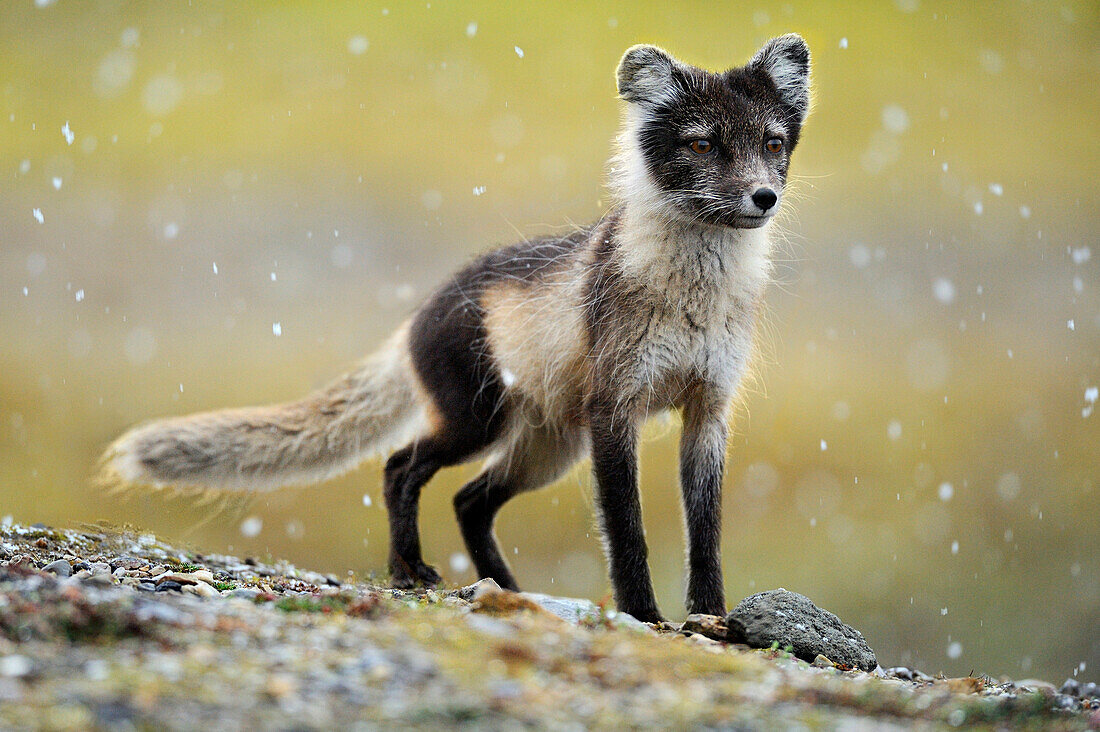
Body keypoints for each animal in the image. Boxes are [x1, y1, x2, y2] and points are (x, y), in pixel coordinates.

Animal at [103, 35, 809, 620]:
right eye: (702, 145)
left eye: (773, 144)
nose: (763, 198)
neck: (695, 296)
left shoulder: (708, 410)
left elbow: (706, 530)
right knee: (401, 466)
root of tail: (419, 313)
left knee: (470, 501)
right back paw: (409, 569)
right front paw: (644, 616)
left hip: (548, 449)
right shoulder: (615, 410)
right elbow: (627, 531)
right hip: (480, 422)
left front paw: (711, 615)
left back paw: (508, 589)